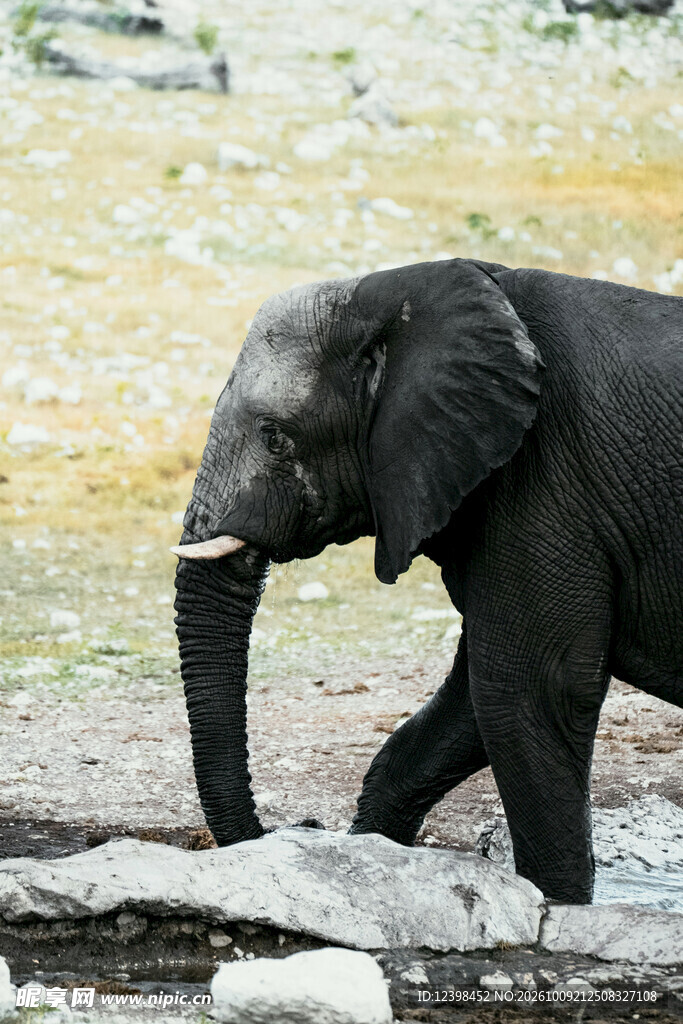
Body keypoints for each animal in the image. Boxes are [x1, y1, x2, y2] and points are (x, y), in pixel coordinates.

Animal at [172, 258, 683, 904]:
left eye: (275, 436)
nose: (302, 824)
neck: (401, 294)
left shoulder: (546, 481)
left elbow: (527, 689)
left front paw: (556, 907)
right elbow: (471, 703)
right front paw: (373, 856)